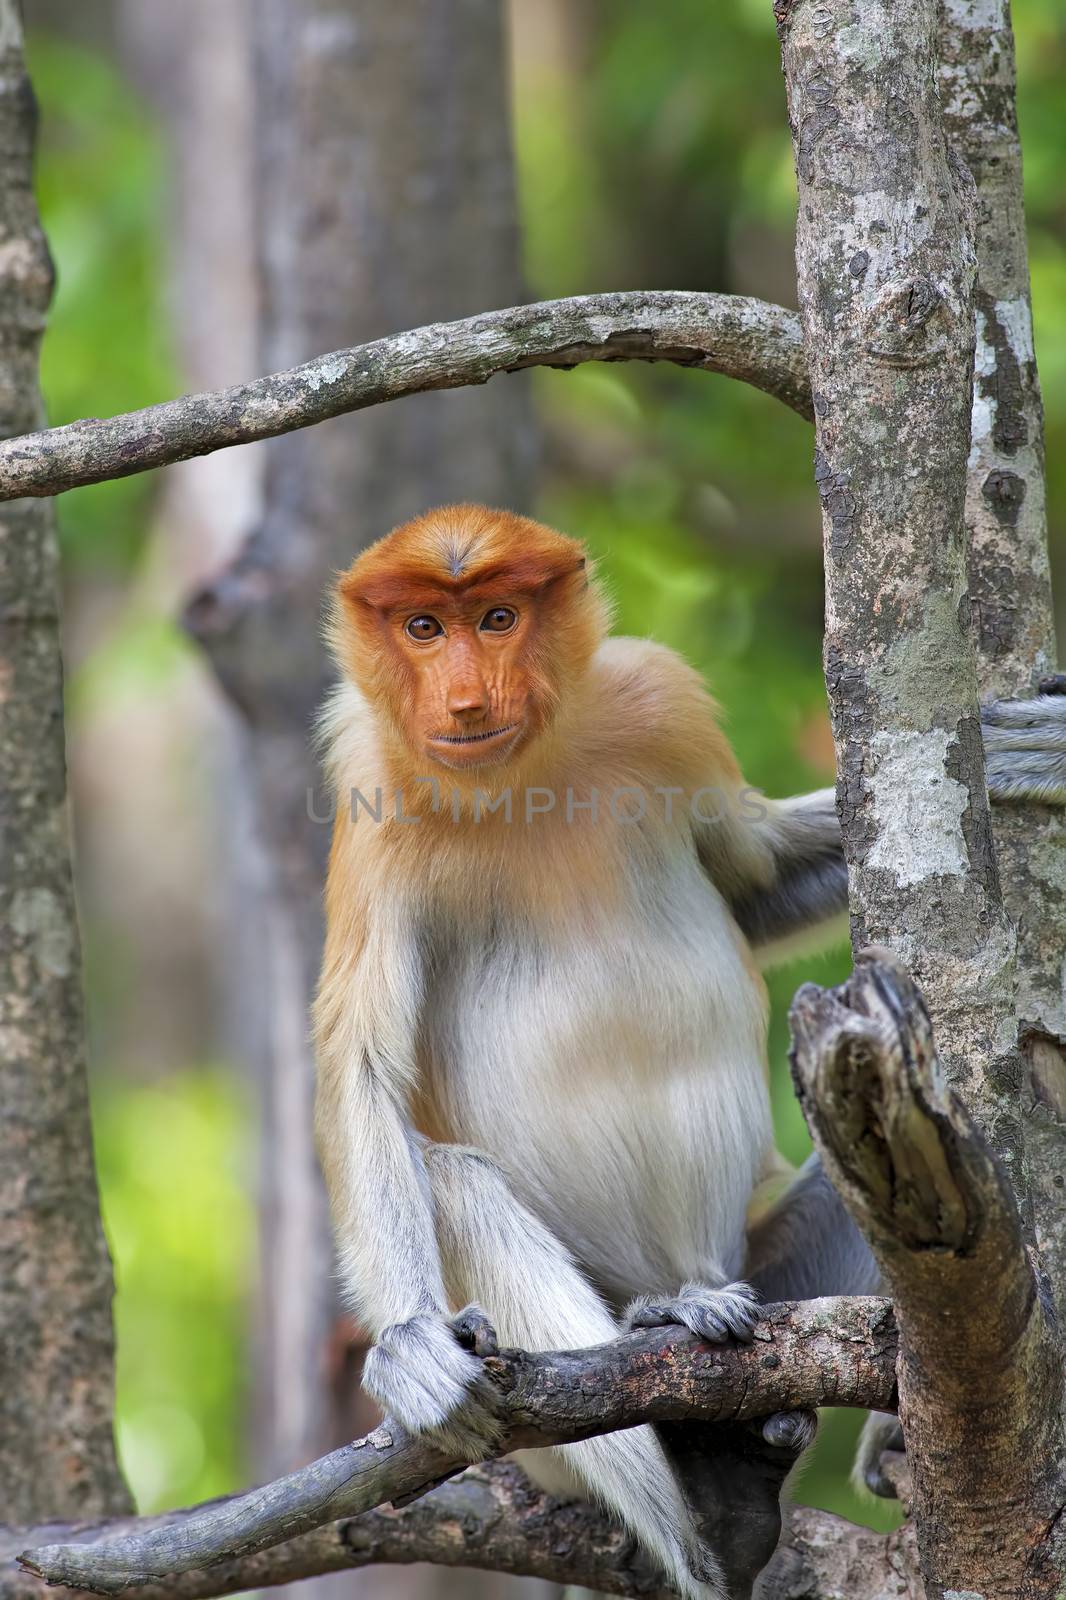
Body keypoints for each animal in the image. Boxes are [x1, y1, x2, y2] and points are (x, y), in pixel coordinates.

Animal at [313, 502, 1062, 1600]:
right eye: (421, 627)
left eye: (496, 618)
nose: (464, 698)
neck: (526, 770)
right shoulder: (371, 790)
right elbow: (362, 1066)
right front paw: (409, 1348)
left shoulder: (658, 699)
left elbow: (751, 881)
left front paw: (1025, 759)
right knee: (452, 1184)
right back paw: (709, 1485)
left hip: (776, 1273)